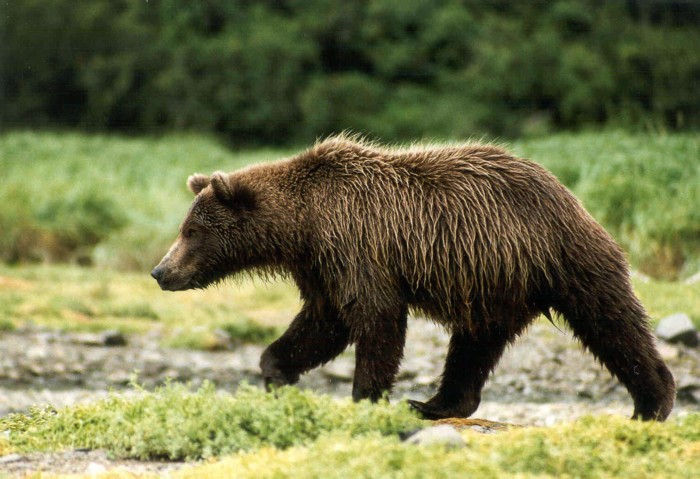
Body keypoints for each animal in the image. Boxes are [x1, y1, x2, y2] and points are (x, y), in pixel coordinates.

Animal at [150, 134, 676, 420]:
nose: (160, 270)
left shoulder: (357, 247)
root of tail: (567, 191)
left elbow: (375, 319)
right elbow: (322, 324)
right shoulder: (322, 267)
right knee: (474, 346)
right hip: (494, 285)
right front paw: (276, 370)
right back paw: (436, 403)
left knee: (610, 320)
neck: (303, 225)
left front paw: (365, 396)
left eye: (191, 231)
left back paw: (652, 400)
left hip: (558, 257)